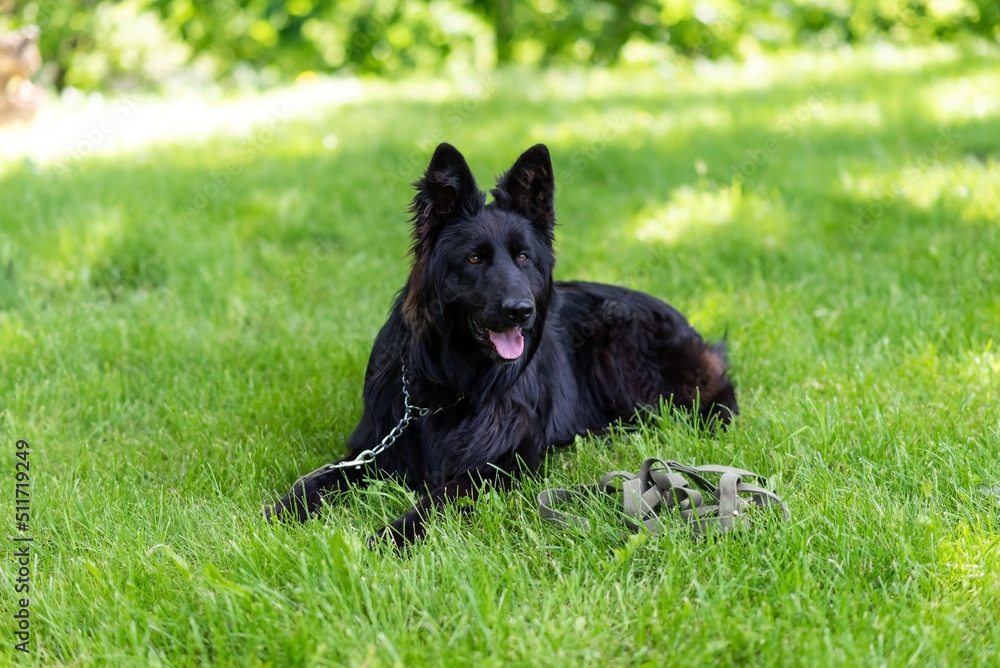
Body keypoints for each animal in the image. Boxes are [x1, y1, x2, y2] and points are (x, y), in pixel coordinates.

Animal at [270, 144, 740, 544]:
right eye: (474, 259)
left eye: (523, 257)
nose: (521, 311)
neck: (448, 388)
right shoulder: (374, 448)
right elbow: (322, 479)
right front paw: (282, 510)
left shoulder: (503, 464)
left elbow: (439, 497)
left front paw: (393, 535)